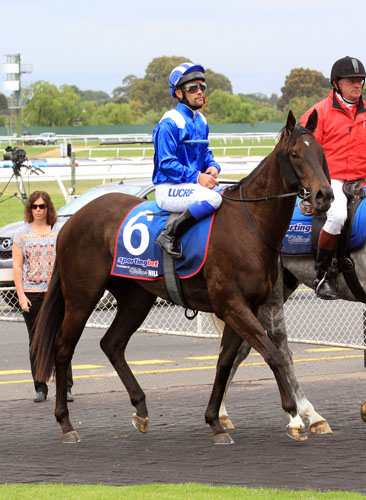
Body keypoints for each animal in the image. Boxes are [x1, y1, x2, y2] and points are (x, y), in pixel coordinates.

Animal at [33, 111, 334, 444]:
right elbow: (272, 353)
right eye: (294, 154)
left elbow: (224, 362)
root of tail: (72, 221)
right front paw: (294, 417)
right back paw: (66, 423)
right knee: (63, 348)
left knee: (112, 343)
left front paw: (215, 421)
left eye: (321, 153)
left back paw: (141, 410)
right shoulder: (232, 305)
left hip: (136, 297)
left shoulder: (243, 307)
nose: (324, 195)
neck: (249, 225)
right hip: (82, 295)